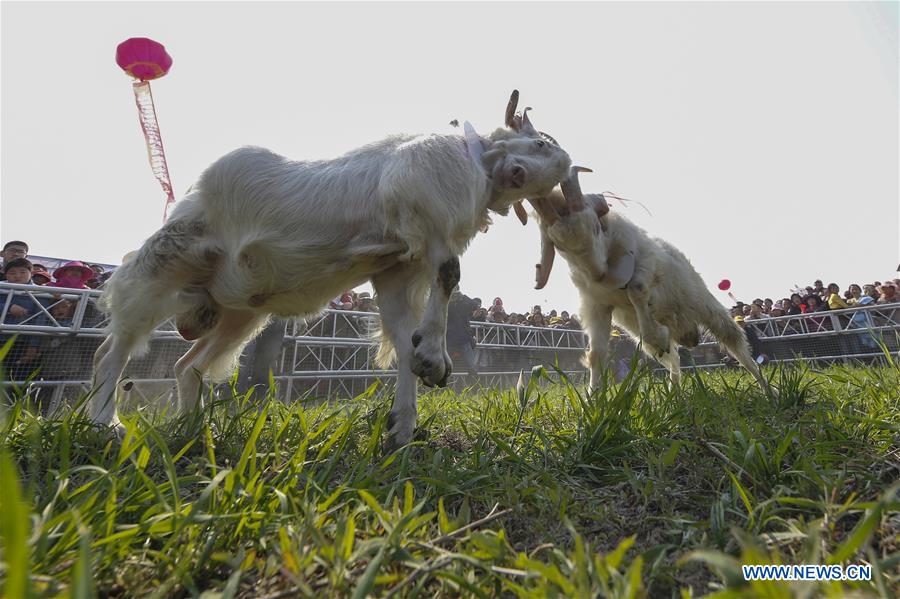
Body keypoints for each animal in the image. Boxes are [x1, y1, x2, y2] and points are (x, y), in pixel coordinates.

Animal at [91, 89, 568, 446]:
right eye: (541, 144)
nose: (520, 174)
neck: (474, 163)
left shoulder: (396, 269)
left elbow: (403, 339)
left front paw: (403, 425)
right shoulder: (425, 215)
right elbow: (450, 273)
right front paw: (435, 359)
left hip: (238, 312)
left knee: (186, 365)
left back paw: (192, 430)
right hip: (163, 265)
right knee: (111, 349)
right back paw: (105, 423)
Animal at [528, 169, 772, 394]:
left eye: (596, 227)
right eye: (558, 245)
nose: (599, 275)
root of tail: (689, 333)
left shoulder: (647, 267)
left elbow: (636, 291)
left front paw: (657, 334)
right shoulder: (596, 305)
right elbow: (596, 355)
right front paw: (592, 400)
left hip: (705, 305)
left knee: (735, 344)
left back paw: (769, 391)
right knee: (674, 358)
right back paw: (674, 392)